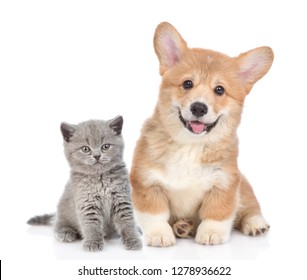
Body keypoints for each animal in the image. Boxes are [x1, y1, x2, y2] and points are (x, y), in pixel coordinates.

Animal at [27, 116, 143, 252]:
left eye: (105, 146)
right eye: (85, 149)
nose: (97, 155)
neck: (100, 178)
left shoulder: (122, 199)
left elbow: (127, 221)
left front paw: (133, 239)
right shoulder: (87, 203)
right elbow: (91, 225)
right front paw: (93, 242)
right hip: (62, 210)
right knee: (57, 224)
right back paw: (65, 232)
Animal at [130, 22, 274, 247]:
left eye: (220, 90)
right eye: (187, 83)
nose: (199, 107)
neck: (190, 145)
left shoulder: (224, 184)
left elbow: (217, 213)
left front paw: (211, 234)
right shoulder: (147, 183)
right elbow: (155, 215)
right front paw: (159, 235)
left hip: (243, 187)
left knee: (250, 207)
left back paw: (255, 223)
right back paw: (182, 227)